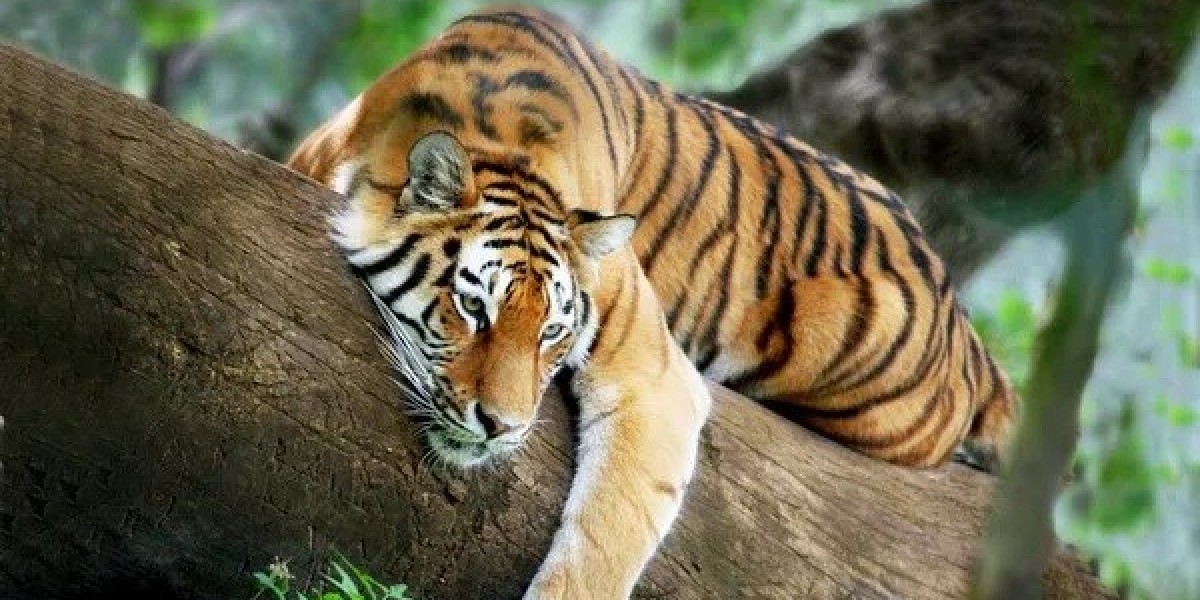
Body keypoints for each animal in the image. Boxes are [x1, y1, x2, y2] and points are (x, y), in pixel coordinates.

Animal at [287, 5, 1018, 599]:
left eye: (551, 331)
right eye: (473, 310)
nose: (503, 427)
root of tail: (964, 324)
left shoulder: (654, 376)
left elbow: (602, 542)